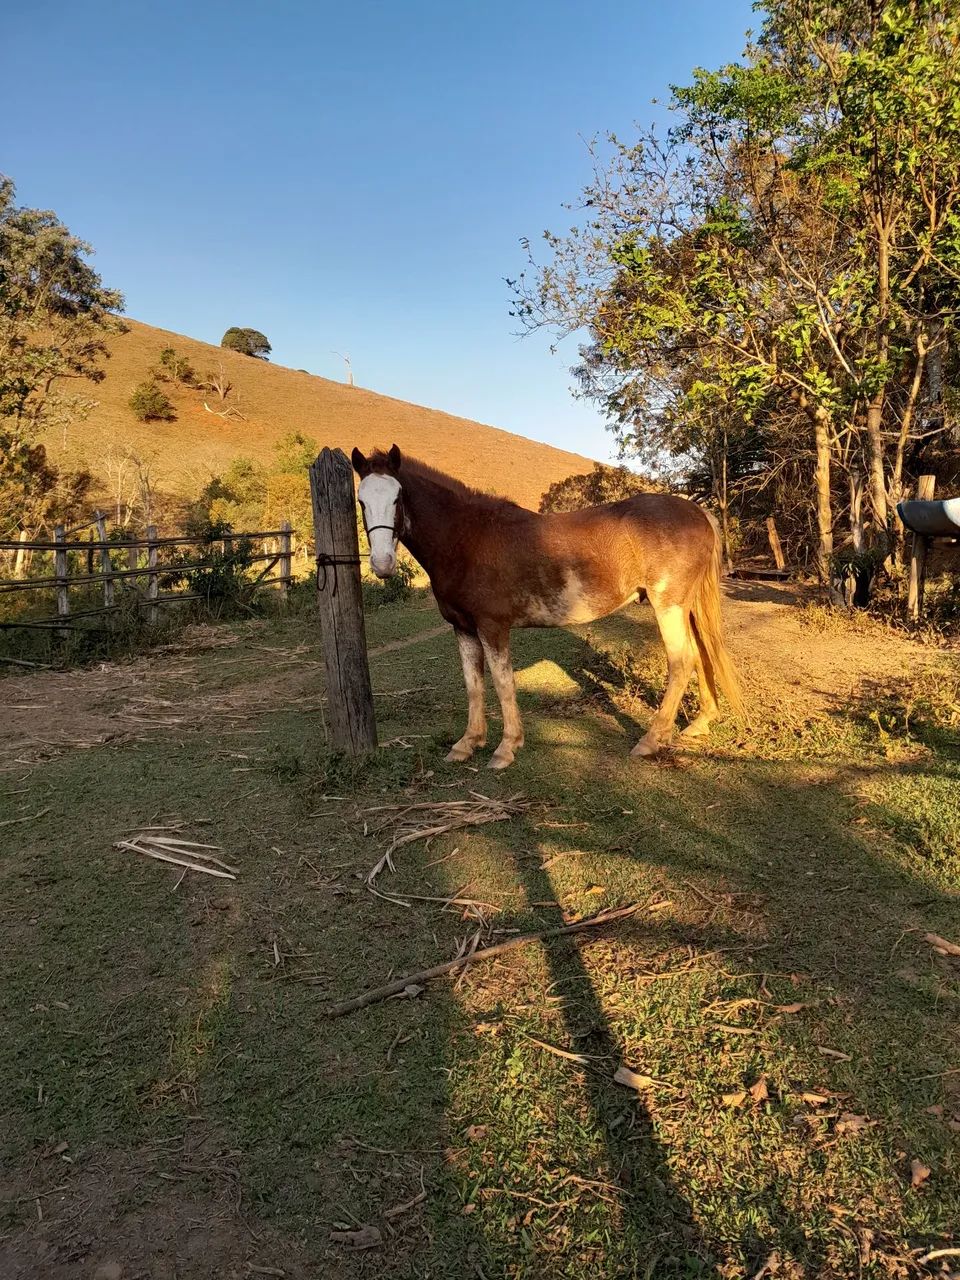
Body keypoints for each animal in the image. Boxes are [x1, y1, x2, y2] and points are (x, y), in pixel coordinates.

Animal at [352, 444, 742, 769]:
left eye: (398, 498)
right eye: (361, 501)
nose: (382, 565)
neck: (467, 538)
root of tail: (696, 510)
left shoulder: (493, 626)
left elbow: (503, 682)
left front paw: (506, 747)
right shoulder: (462, 628)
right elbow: (473, 684)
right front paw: (468, 743)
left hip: (668, 606)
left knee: (682, 662)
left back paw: (651, 739)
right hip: (686, 607)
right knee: (702, 653)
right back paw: (700, 723)